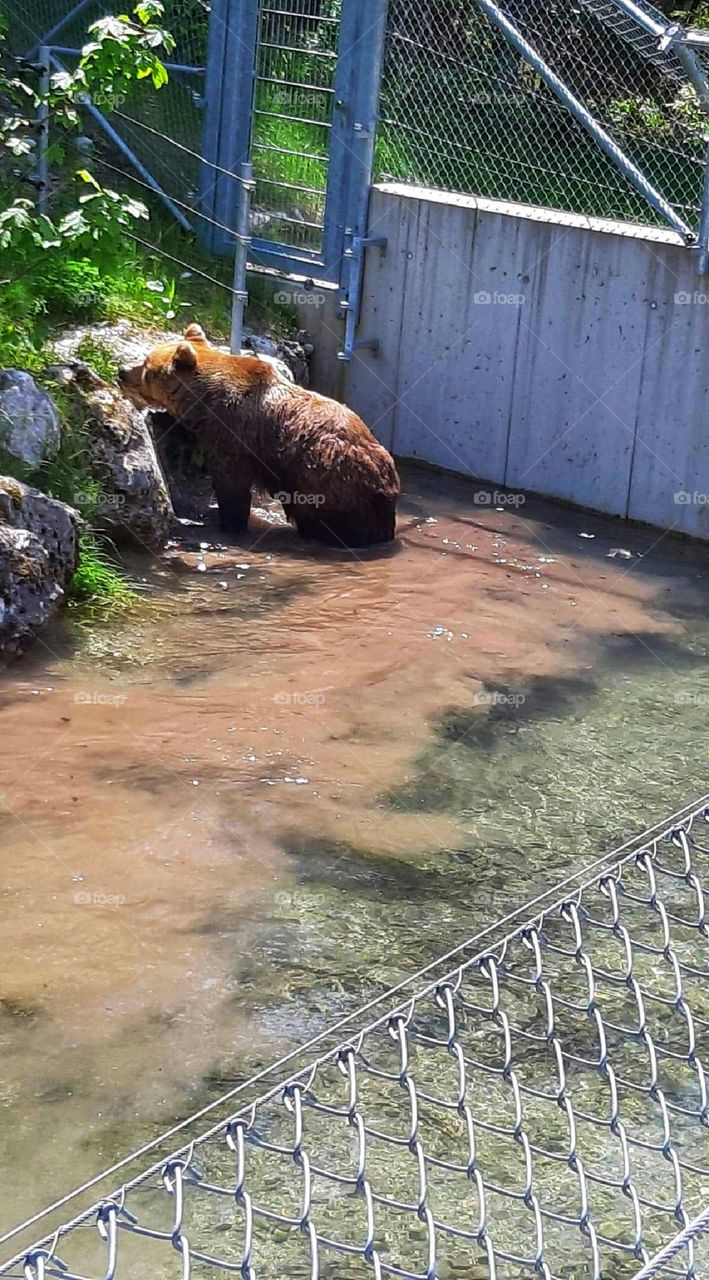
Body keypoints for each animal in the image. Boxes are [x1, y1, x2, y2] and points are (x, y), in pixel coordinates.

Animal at [118, 325, 400, 548]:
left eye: (146, 364)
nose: (122, 370)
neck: (205, 402)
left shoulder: (234, 436)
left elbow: (232, 484)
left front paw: (228, 522)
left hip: (329, 473)